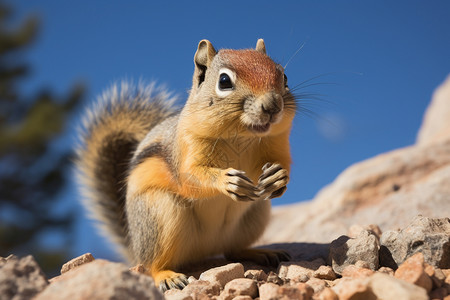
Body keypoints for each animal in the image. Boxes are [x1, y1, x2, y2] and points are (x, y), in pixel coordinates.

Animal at [76, 39, 298, 290]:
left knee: (232, 251)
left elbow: (283, 163)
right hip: (161, 215)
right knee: (151, 265)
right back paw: (167, 276)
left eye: (284, 76)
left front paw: (278, 178)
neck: (241, 136)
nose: (273, 105)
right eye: (224, 81)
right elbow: (189, 177)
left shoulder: (277, 143)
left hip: (256, 213)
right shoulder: (185, 148)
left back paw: (260, 253)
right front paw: (226, 181)